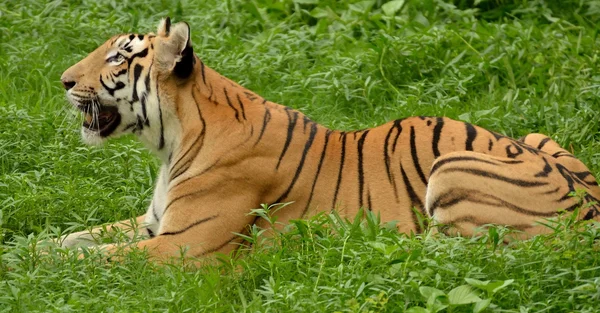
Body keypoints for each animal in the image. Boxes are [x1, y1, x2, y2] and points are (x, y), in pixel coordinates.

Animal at [58, 17, 600, 260]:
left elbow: (94, 259)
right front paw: (44, 248)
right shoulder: (154, 223)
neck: (169, 143)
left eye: (116, 58)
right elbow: (70, 239)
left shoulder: (183, 244)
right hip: (537, 134)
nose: (62, 81)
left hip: (451, 166)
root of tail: (591, 207)